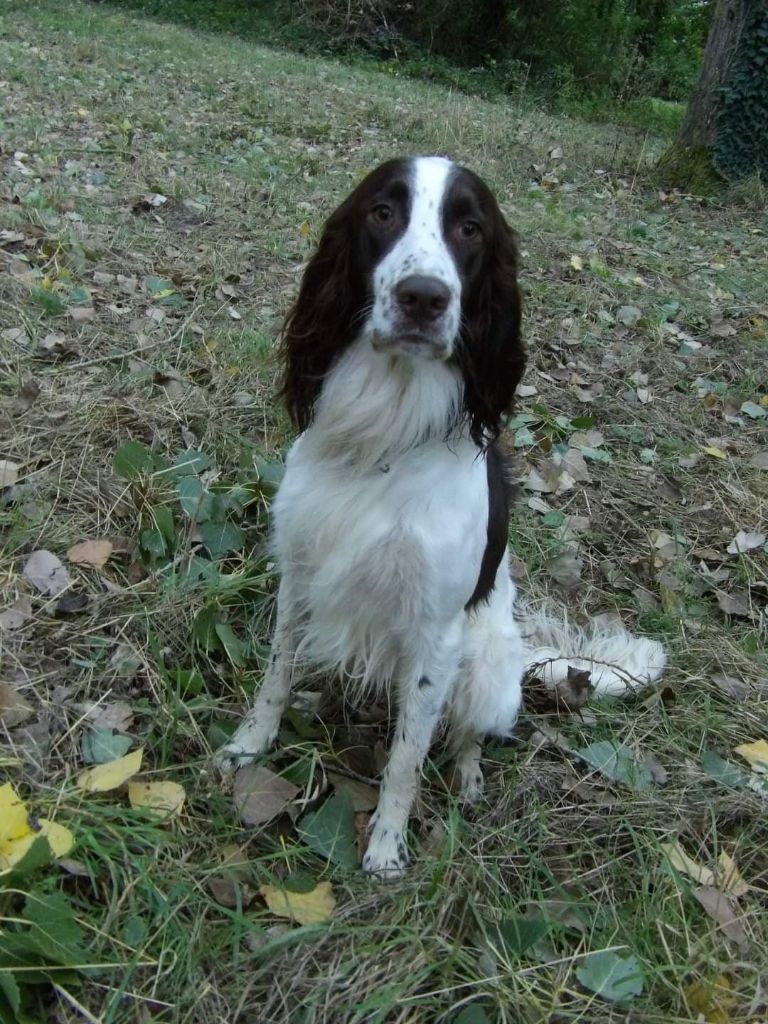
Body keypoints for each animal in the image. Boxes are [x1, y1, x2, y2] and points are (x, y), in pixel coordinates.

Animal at [217, 155, 667, 876]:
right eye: (382, 212)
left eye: (469, 228)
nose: (423, 298)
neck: (386, 438)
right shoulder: (301, 574)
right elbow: (275, 675)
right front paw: (250, 745)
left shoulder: (434, 633)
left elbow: (406, 758)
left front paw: (385, 849)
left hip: (486, 667)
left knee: (467, 733)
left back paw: (468, 775)